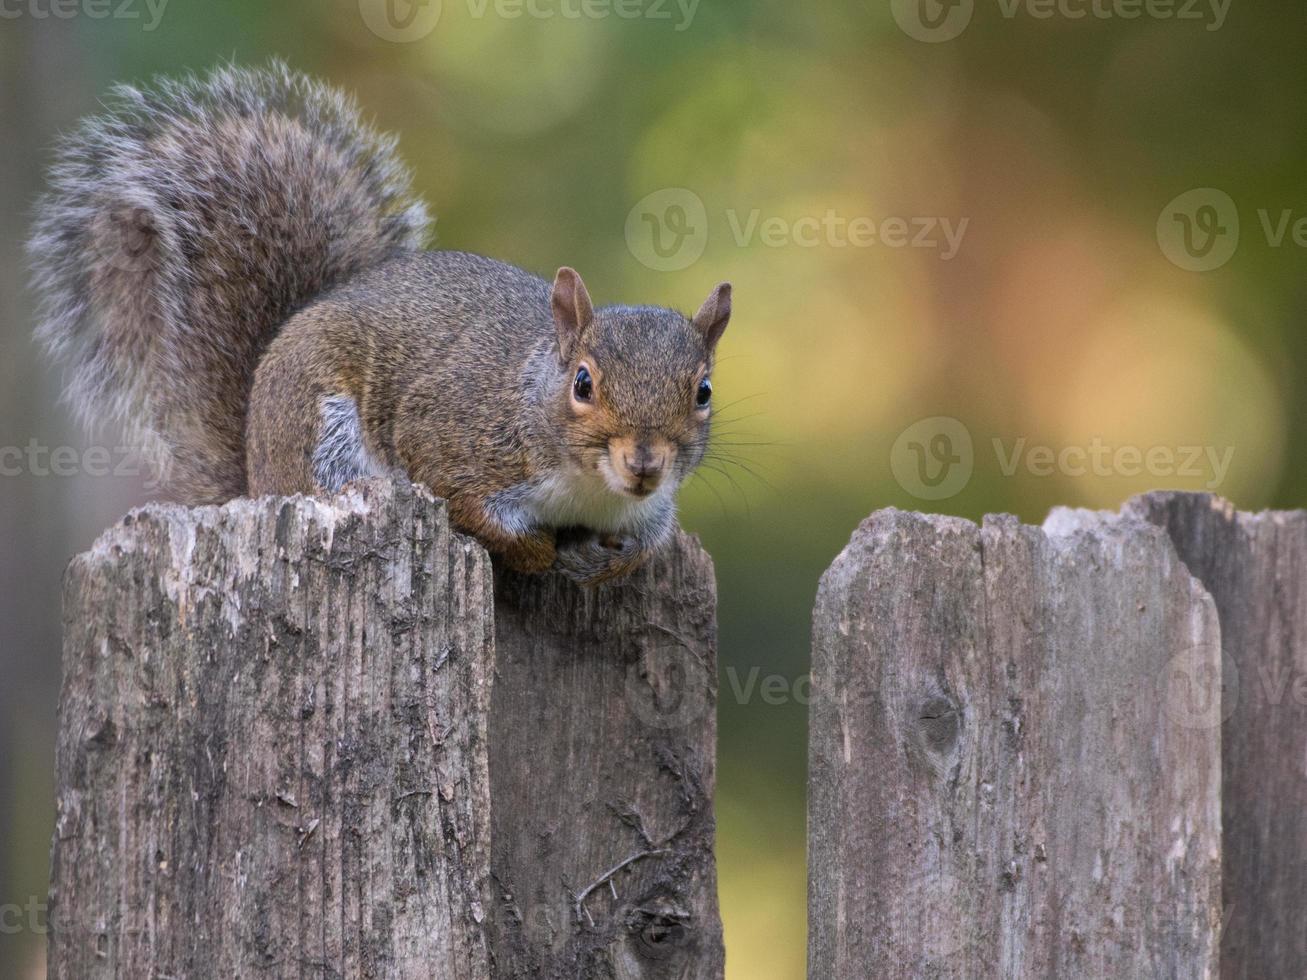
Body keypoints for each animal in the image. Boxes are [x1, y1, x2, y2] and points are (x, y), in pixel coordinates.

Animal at [28, 63, 737, 590]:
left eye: (703, 392)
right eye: (583, 384)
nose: (644, 463)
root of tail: (254, 475)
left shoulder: (648, 507)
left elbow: (648, 541)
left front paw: (611, 562)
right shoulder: (450, 435)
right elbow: (468, 507)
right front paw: (537, 553)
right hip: (320, 429)